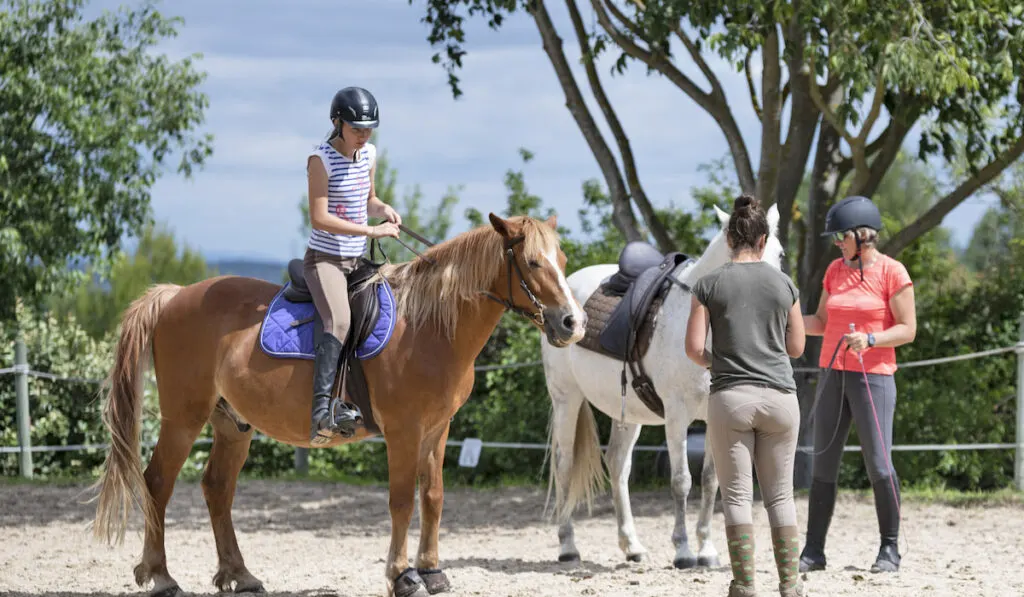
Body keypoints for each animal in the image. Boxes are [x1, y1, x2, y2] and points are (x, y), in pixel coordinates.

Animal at [92, 214, 589, 597]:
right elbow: (401, 501)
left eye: (563, 262)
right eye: (532, 262)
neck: (428, 326)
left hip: (233, 424)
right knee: (157, 483)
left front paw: (432, 571)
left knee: (217, 488)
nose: (573, 323)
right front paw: (402, 576)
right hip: (183, 418)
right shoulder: (404, 431)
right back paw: (160, 576)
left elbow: (433, 496)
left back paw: (240, 575)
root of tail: (175, 295)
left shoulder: (438, 428)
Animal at [544, 204, 782, 569]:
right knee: (564, 464)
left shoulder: (716, 417)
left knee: (617, 464)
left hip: (626, 413)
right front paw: (683, 551)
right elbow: (681, 480)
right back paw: (568, 546)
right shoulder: (676, 416)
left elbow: (711, 481)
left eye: (779, 253)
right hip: (566, 400)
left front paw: (707, 550)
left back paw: (632, 546)